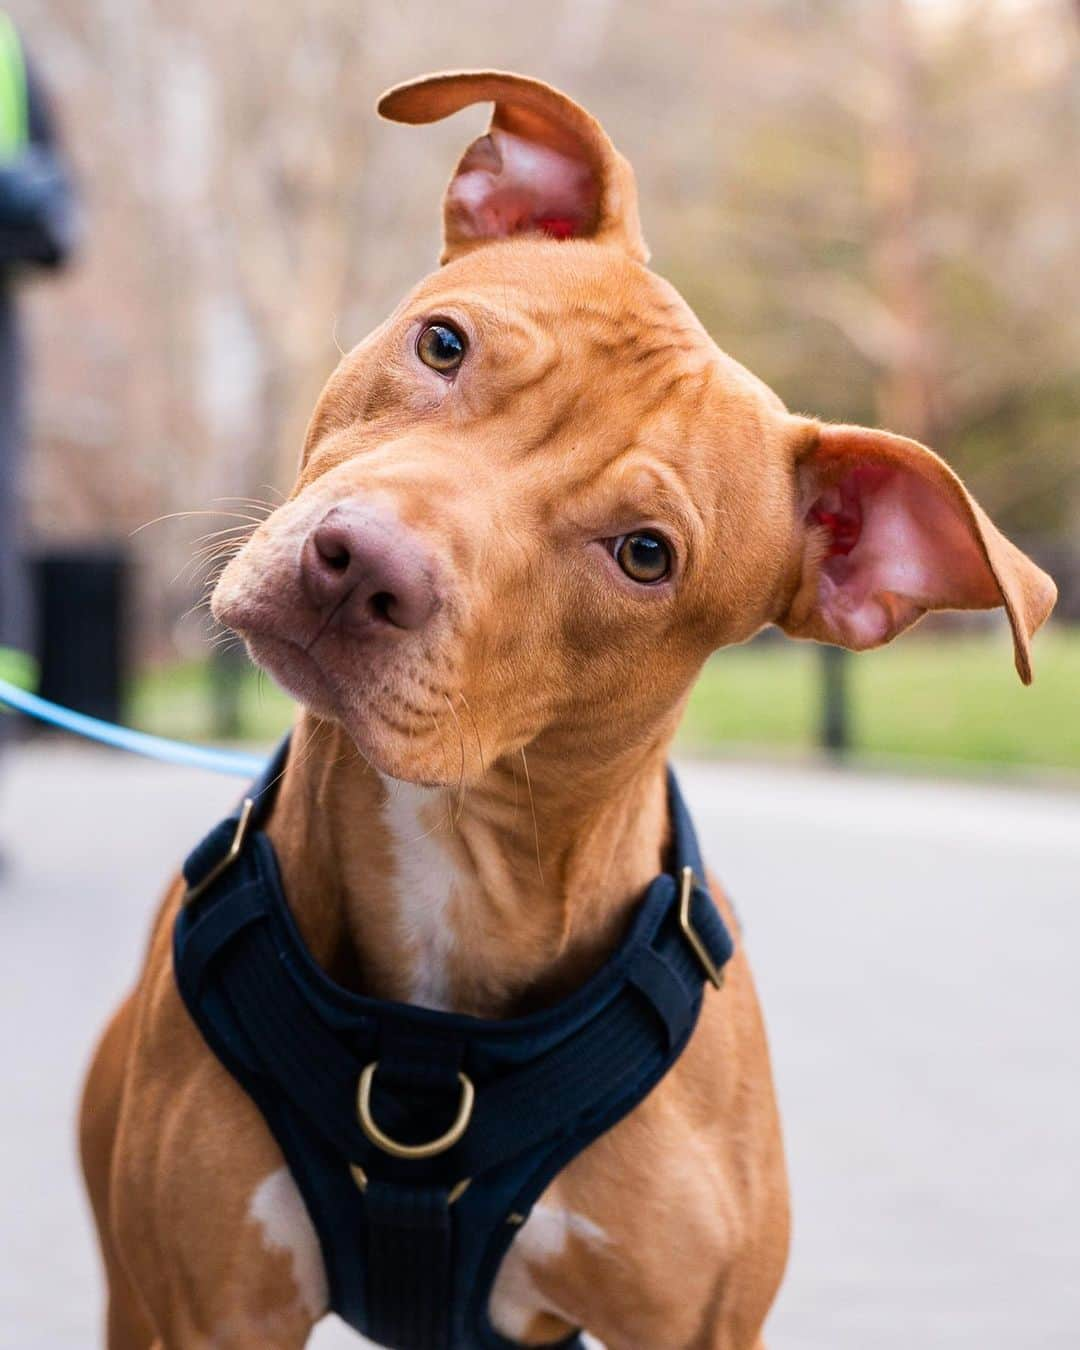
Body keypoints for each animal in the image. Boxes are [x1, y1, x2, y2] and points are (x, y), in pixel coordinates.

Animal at [82, 73, 1053, 1350]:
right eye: (443, 343)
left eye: (645, 555)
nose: (360, 565)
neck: (466, 856)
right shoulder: (207, 1309)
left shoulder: (694, 1324)